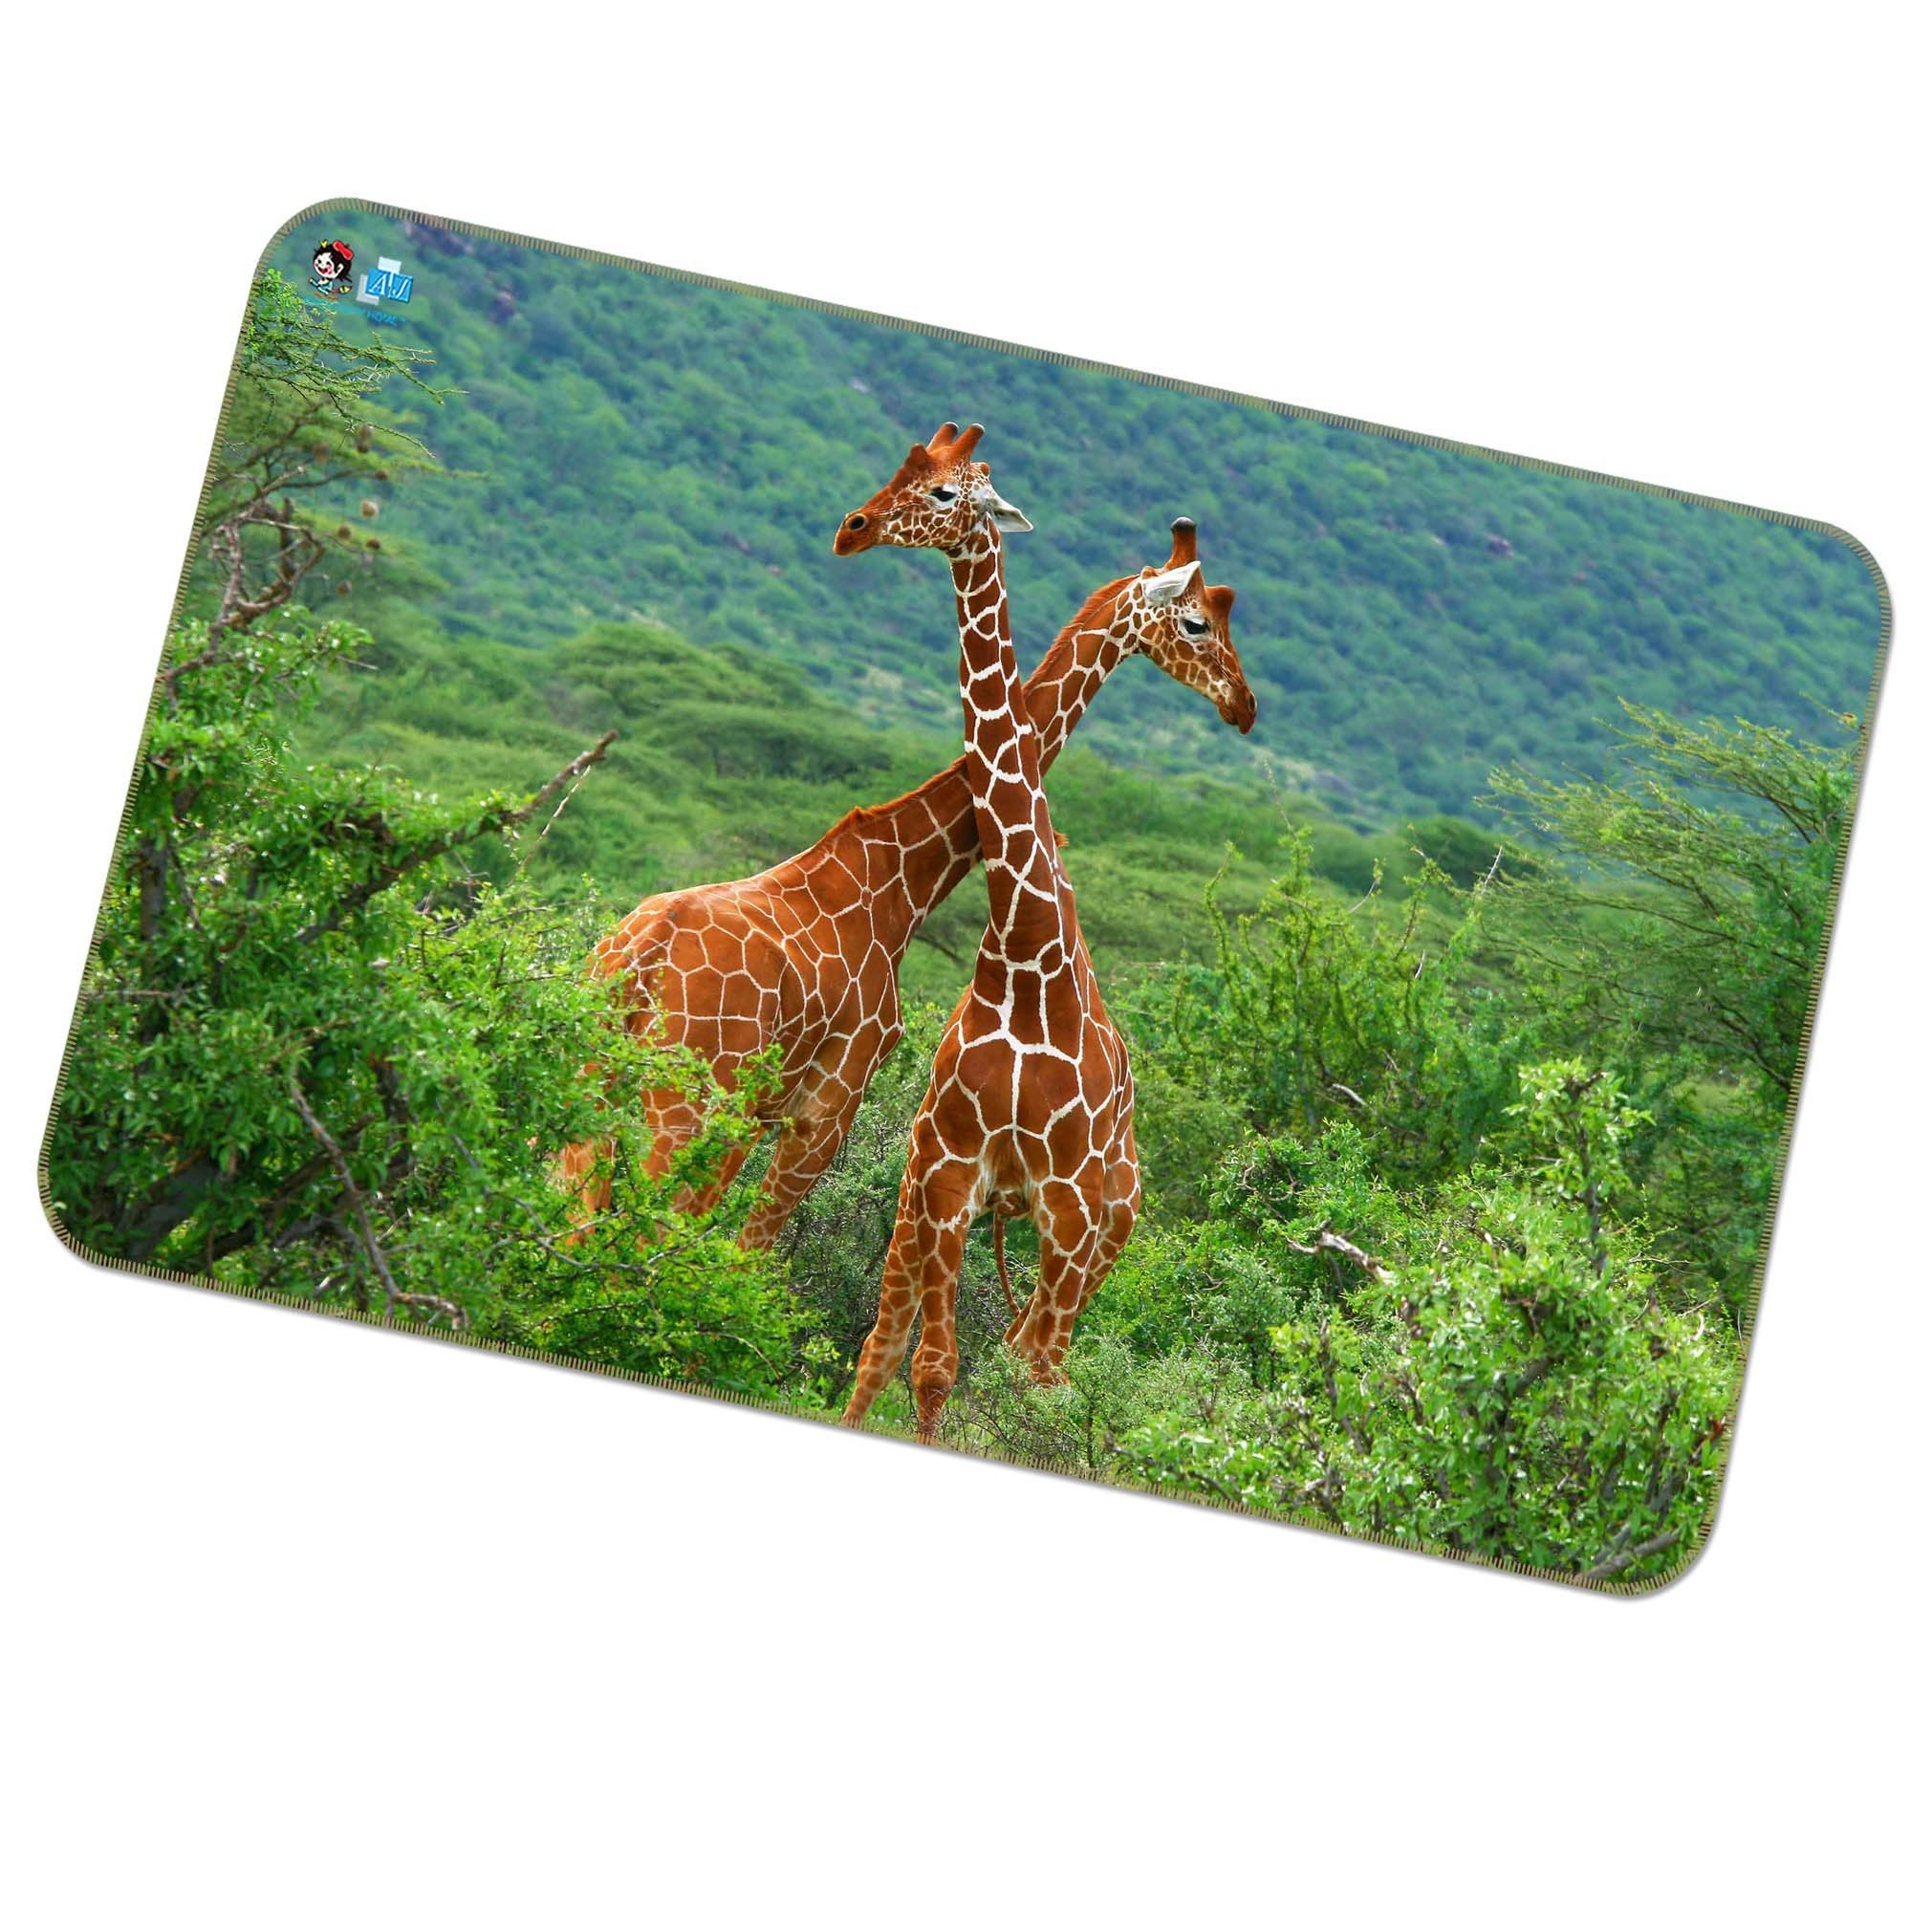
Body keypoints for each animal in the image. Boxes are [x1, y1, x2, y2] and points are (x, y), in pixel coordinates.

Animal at [559, 491, 1254, 1256]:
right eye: (1196, 621)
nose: (1243, 704)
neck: (903, 881)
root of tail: (635, 964)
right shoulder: (829, 1102)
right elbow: (744, 1252)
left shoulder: (780, 1107)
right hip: (684, 1103)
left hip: (594, 1086)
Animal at [834, 423, 1221, 1441]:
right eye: (900, 470)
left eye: (945, 495)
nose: (851, 530)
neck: (1022, 962)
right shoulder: (948, 1172)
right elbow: (928, 1364)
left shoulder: (1065, 1209)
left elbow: (1007, 1372)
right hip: (933, 1203)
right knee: (893, 1346)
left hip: (1100, 1232)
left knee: (1044, 1365)